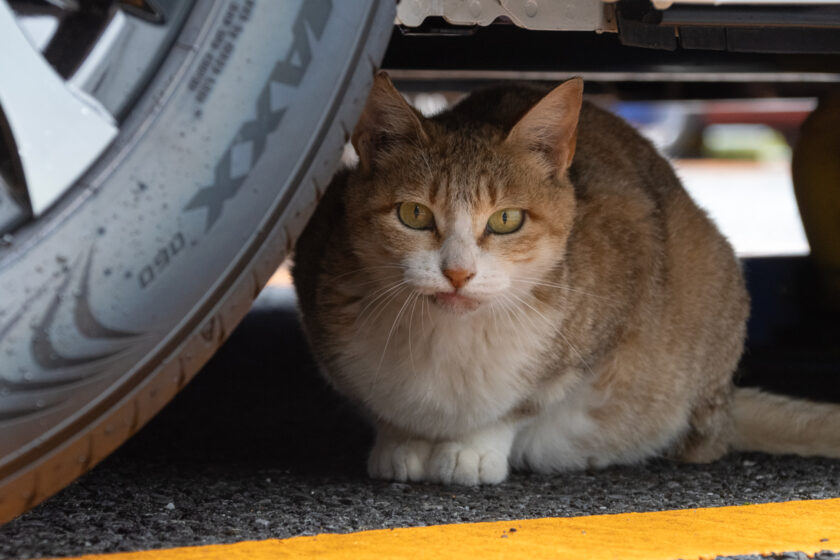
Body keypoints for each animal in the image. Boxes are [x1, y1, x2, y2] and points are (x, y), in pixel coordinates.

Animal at [292, 72, 840, 484]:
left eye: (506, 220)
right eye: (413, 214)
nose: (458, 272)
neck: (445, 341)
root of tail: (727, 403)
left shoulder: (625, 263)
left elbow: (521, 406)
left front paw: (472, 448)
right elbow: (382, 408)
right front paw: (400, 440)